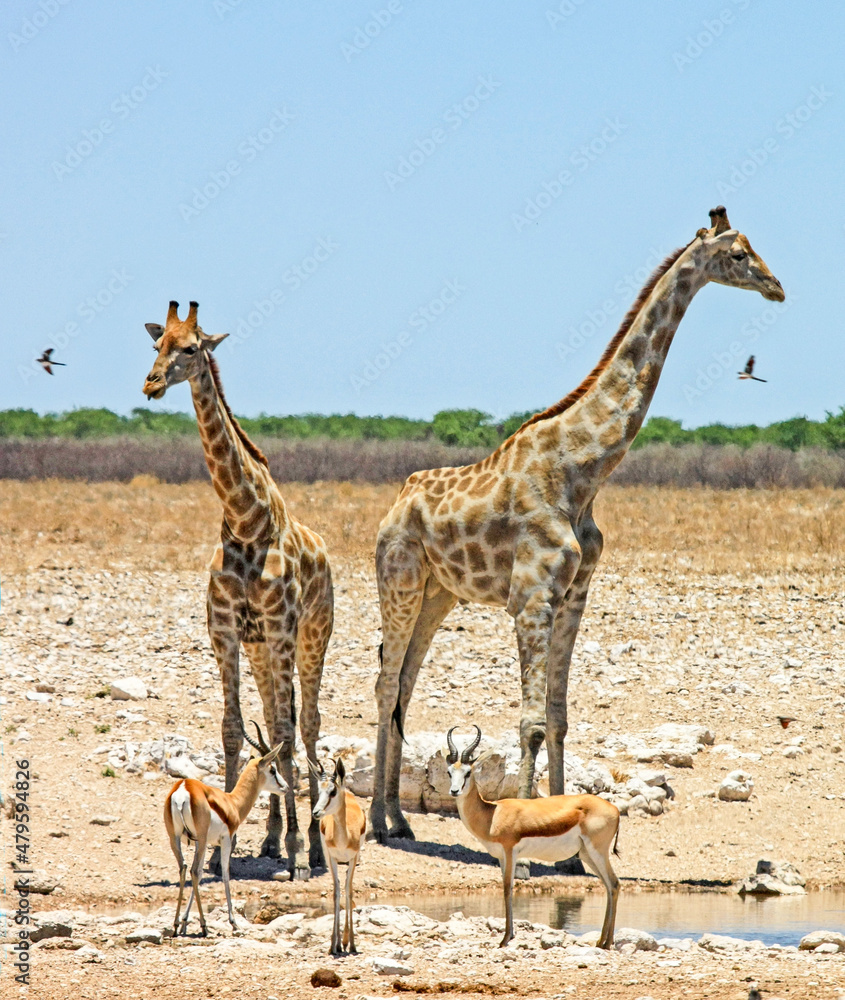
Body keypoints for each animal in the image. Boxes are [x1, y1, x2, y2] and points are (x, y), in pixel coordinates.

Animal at [142, 301, 334, 879]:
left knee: (306, 724)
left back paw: (308, 845)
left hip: (310, 639)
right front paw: (219, 843)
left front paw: (298, 853)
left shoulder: (281, 630)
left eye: (190, 349)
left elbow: (287, 732)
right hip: (261, 651)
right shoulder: (226, 632)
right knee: (273, 720)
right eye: (156, 345)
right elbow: (233, 728)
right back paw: (271, 838)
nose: (150, 383)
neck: (245, 519)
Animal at [368, 207, 784, 844]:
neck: (582, 473)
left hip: (439, 594)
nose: (777, 287)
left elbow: (559, 718)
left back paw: (397, 817)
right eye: (739, 255)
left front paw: (564, 840)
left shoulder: (574, 594)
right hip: (399, 580)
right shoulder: (532, 598)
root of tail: (395, 503)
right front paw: (524, 824)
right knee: (387, 684)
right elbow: (531, 723)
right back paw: (374, 821)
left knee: (405, 688)